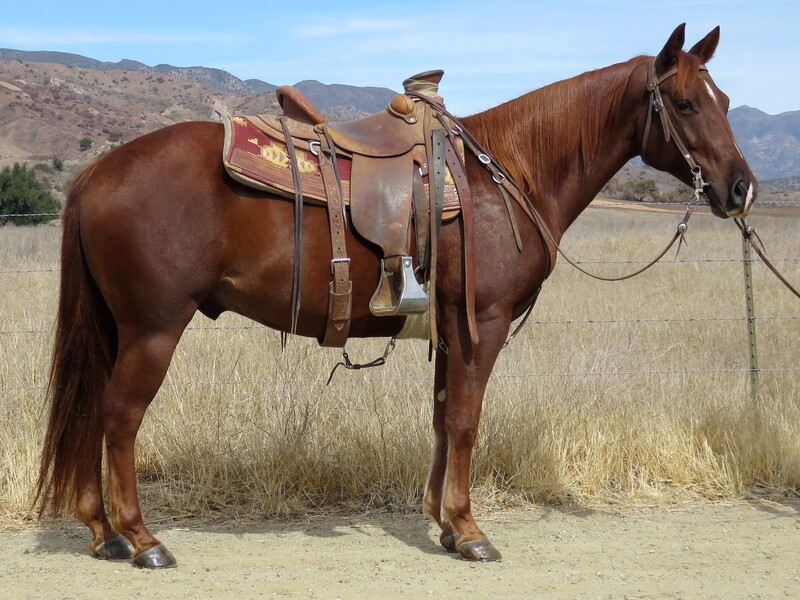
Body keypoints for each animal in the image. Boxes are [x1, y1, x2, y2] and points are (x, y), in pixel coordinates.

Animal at [32, 23, 756, 568]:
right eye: (686, 104)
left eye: (725, 100)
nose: (740, 188)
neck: (507, 173)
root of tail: (97, 171)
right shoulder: (482, 324)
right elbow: (465, 422)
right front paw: (469, 529)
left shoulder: (451, 330)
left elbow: (441, 419)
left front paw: (442, 521)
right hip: (154, 327)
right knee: (119, 417)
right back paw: (142, 539)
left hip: (118, 328)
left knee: (93, 410)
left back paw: (103, 532)